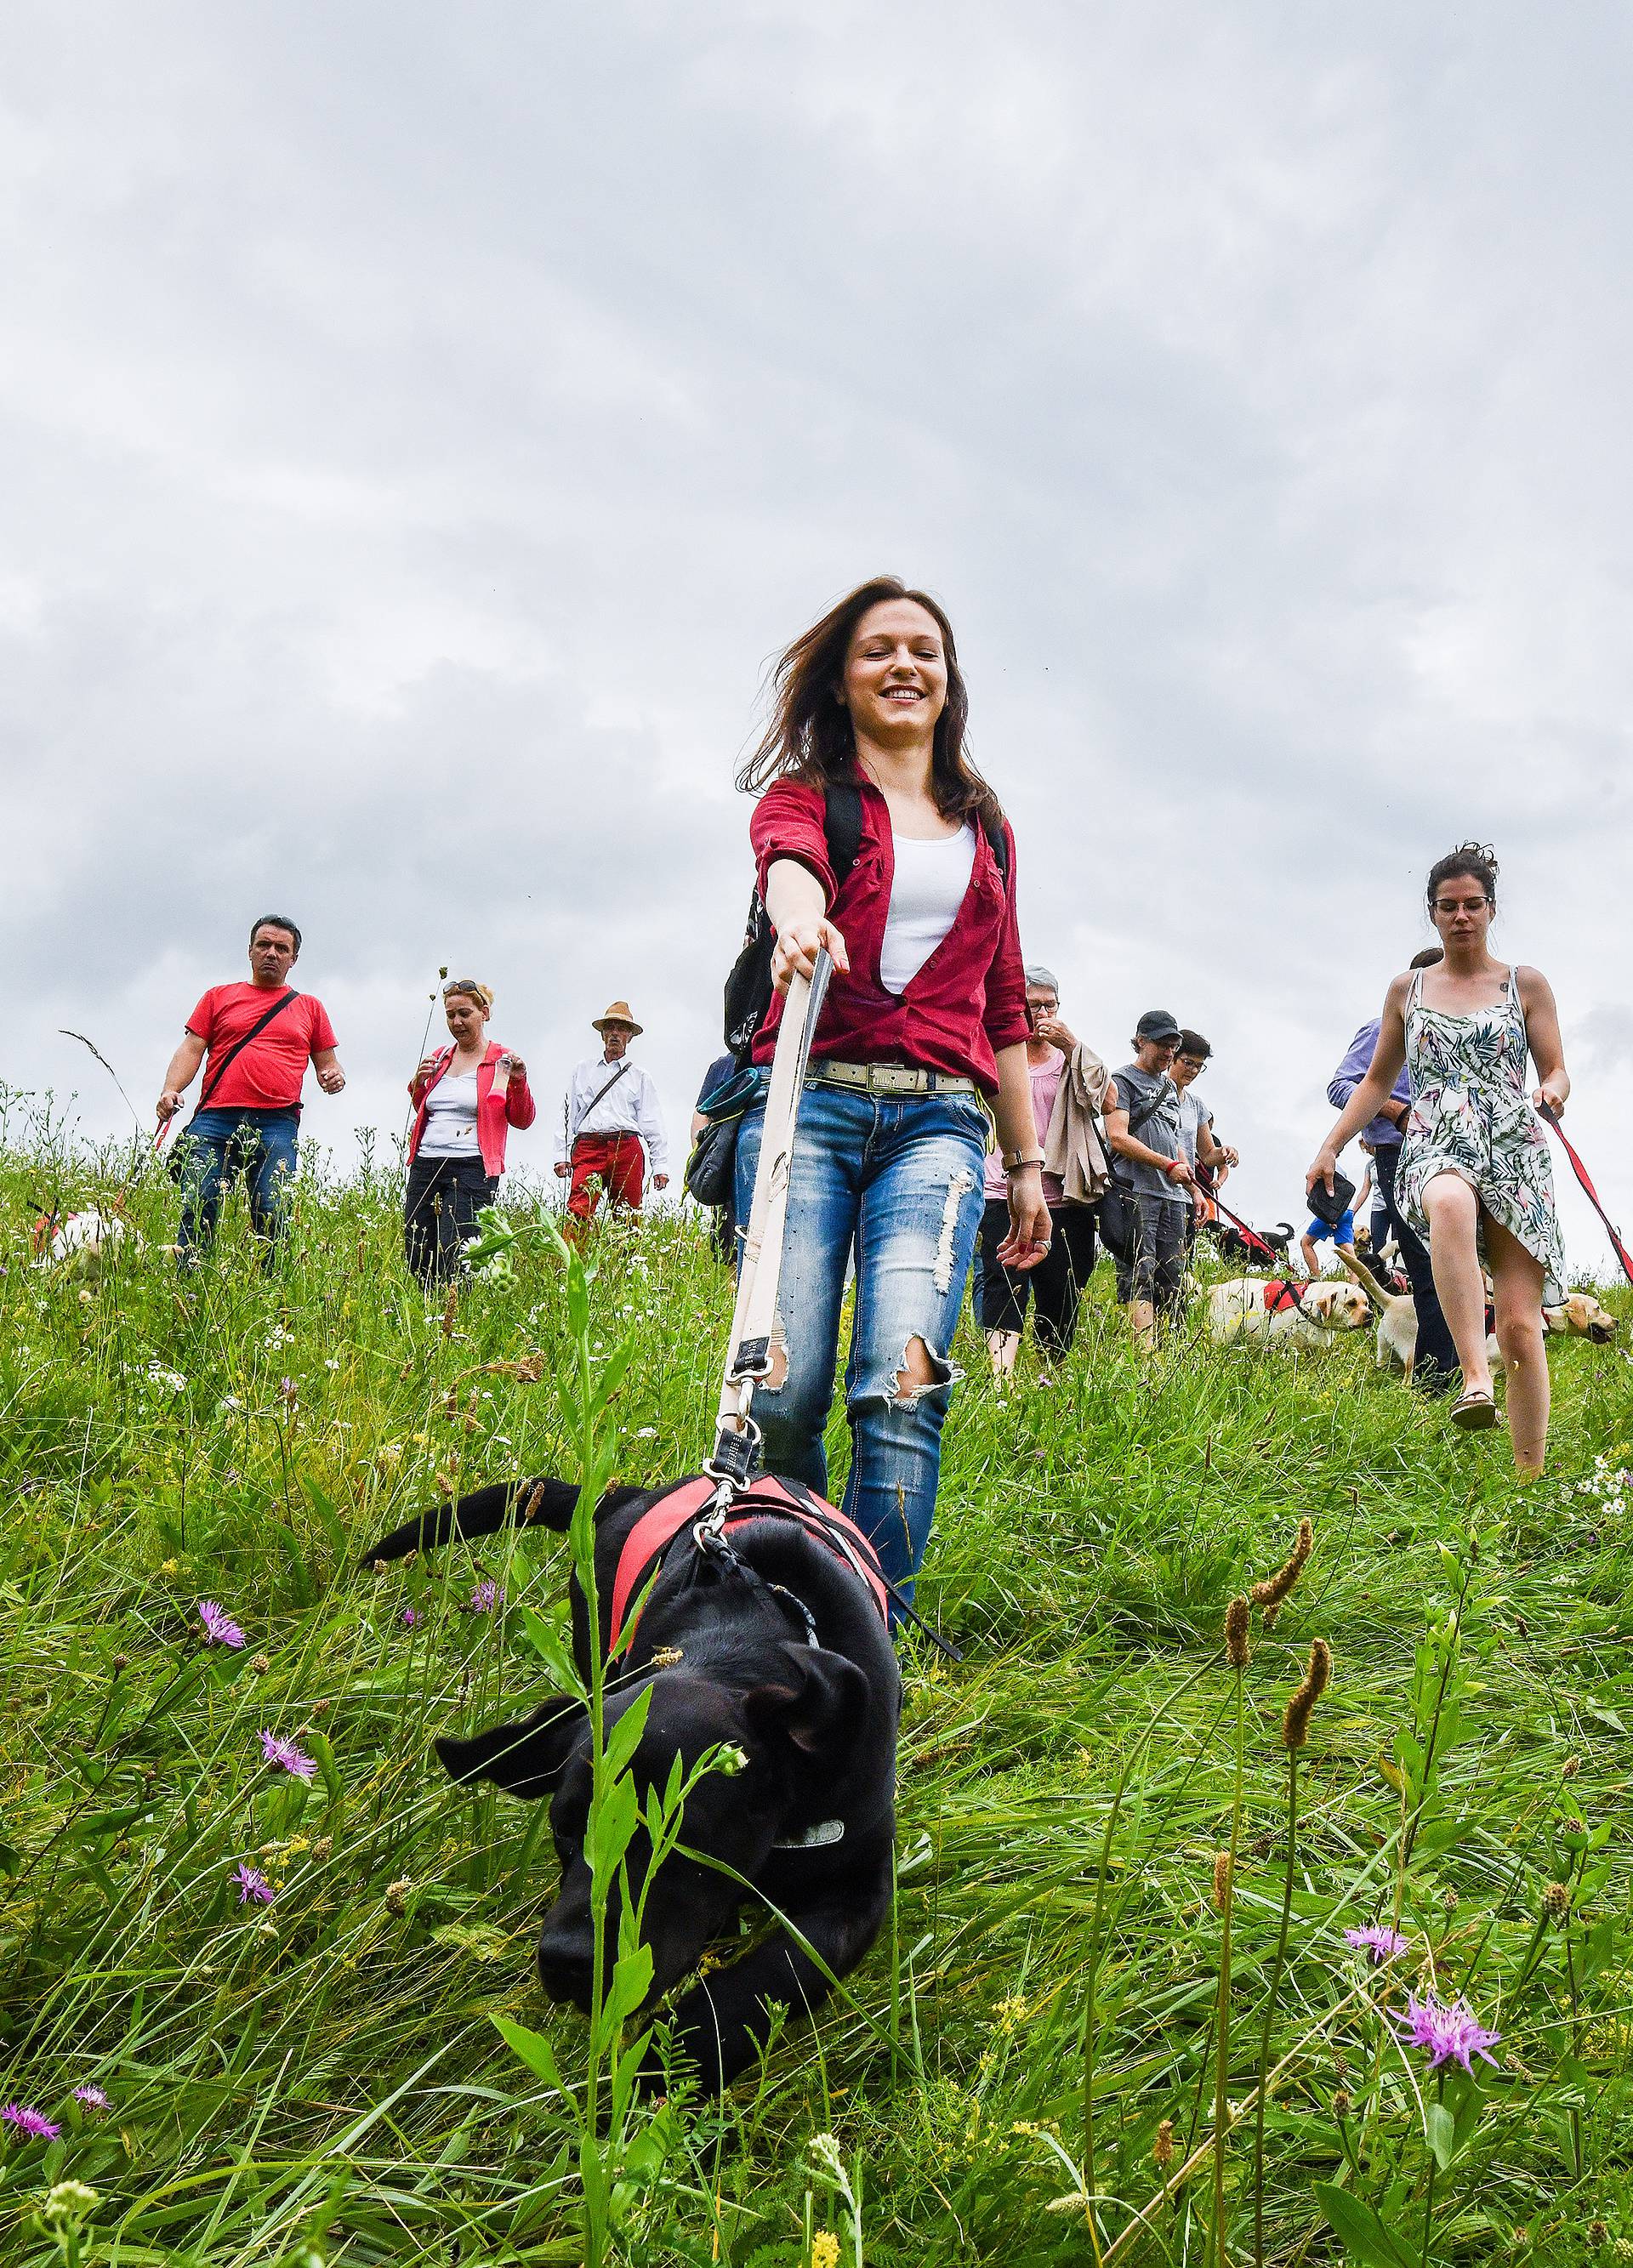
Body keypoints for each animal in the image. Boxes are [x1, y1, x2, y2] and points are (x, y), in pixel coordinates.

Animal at [362, 1469, 898, 2086]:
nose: (570, 1959)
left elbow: (779, 1972)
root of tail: (628, 1495)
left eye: (684, 1835)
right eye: (564, 1830)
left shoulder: (861, 1883)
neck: (740, 1645)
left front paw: (675, 2057)